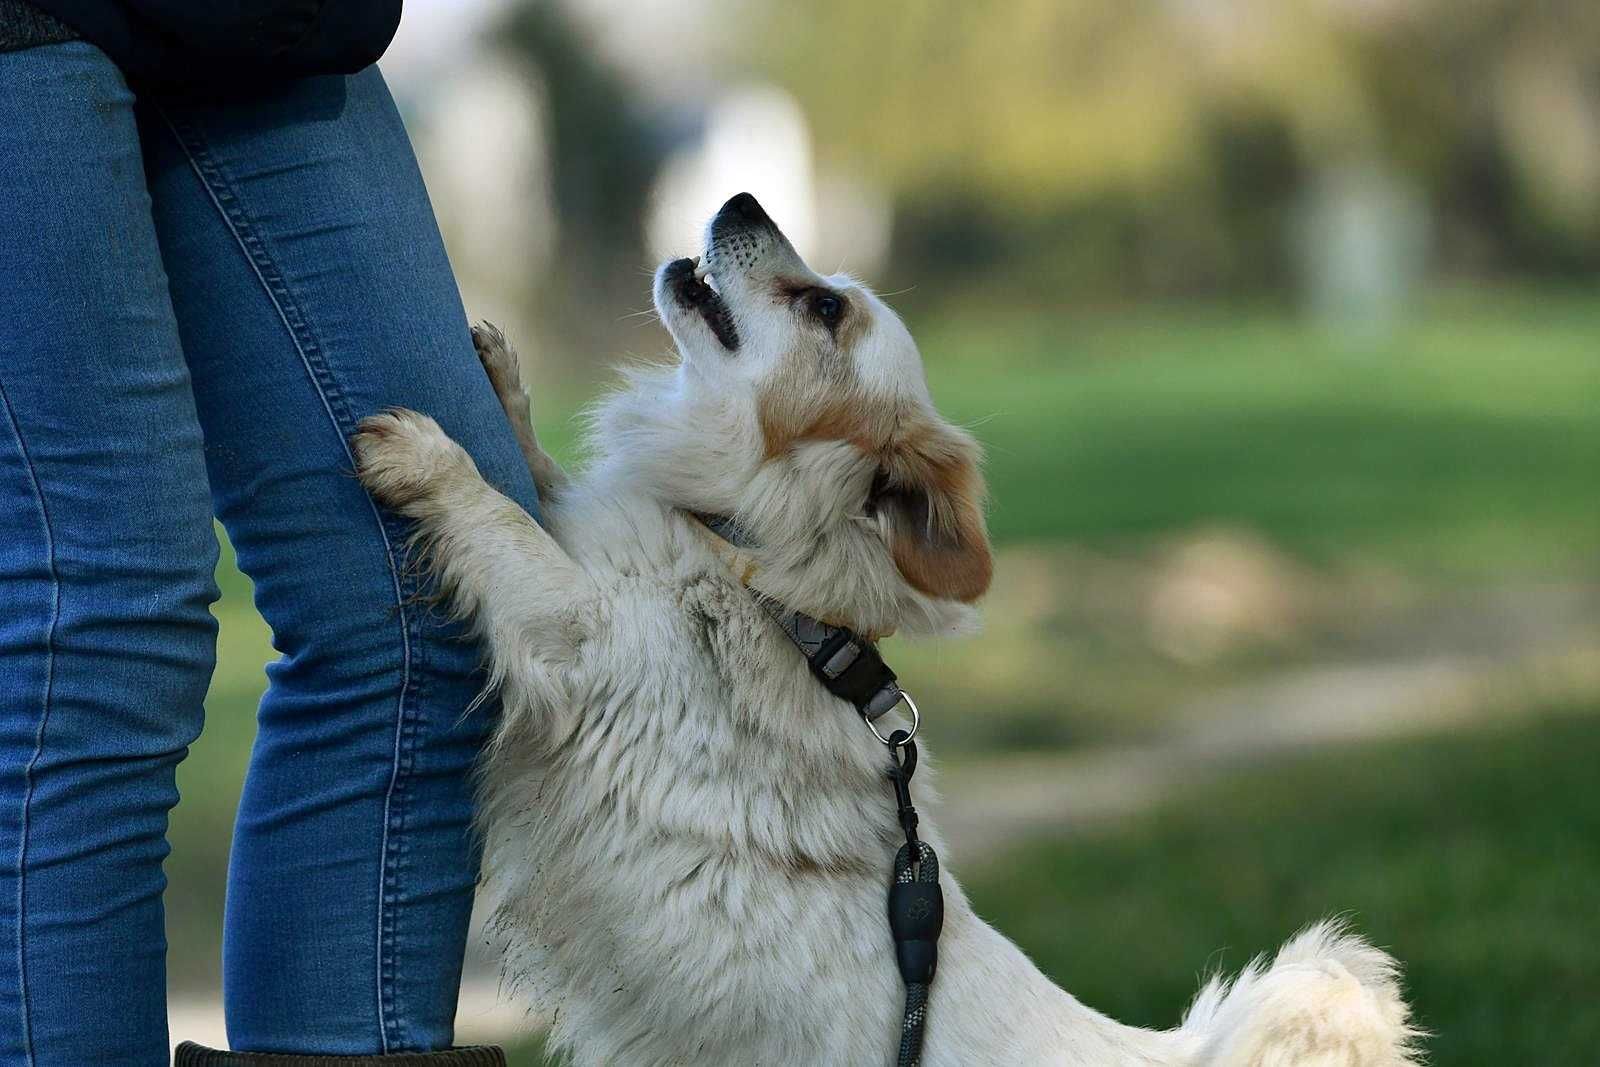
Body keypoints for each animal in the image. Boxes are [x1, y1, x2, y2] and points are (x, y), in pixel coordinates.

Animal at [356, 194, 1420, 1067]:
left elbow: (503, 521)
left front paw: (431, 460)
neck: (748, 565)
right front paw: (502, 387)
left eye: (826, 307)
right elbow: (540, 484)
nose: (743, 197)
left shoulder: (572, 630)